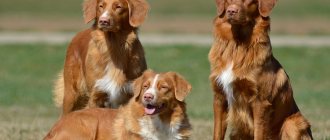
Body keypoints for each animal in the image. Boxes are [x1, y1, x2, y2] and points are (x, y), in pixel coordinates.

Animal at [45, 70, 192, 139]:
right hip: (88, 122)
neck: (160, 123)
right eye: (145, 86)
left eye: (164, 87)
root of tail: (53, 129)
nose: (147, 96)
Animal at [210, 0, 314, 139]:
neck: (237, 45)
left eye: (248, 1)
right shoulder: (219, 98)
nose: (231, 11)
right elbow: (217, 133)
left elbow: (259, 133)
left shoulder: (260, 102)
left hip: (293, 123)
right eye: (228, 1)